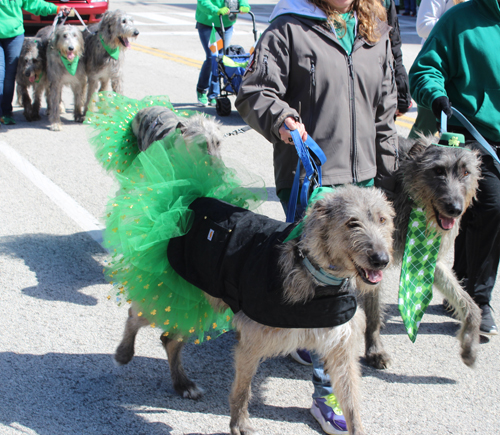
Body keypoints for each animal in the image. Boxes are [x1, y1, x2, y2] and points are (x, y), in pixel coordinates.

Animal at [86, 93, 396, 435]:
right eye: (352, 223)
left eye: (383, 220)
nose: (382, 259)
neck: (314, 273)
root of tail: (188, 200)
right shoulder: (252, 341)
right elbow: (242, 389)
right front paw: (240, 423)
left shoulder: (339, 348)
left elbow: (351, 403)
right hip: (171, 289)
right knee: (135, 315)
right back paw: (124, 353)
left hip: (197, 300)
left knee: (169, 339)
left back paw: (182, 383)